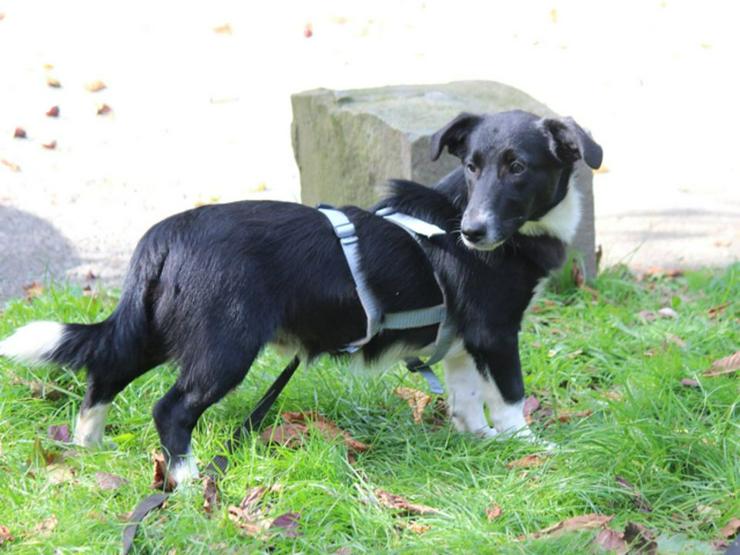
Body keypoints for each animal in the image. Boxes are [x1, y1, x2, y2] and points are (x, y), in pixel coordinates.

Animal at [0, 111, 600, 484]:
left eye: (517, 167)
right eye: (472, 166)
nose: (473, 232)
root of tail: (167, 233)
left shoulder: (460, 340)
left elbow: (468, 398)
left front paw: (480, 440)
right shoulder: (495, 333)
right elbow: (510, 397)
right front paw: (528, 447)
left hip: (159, 328)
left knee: (106, 368)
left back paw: (88, 447)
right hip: (224, 347)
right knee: (170, 408)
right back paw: (187, 480)